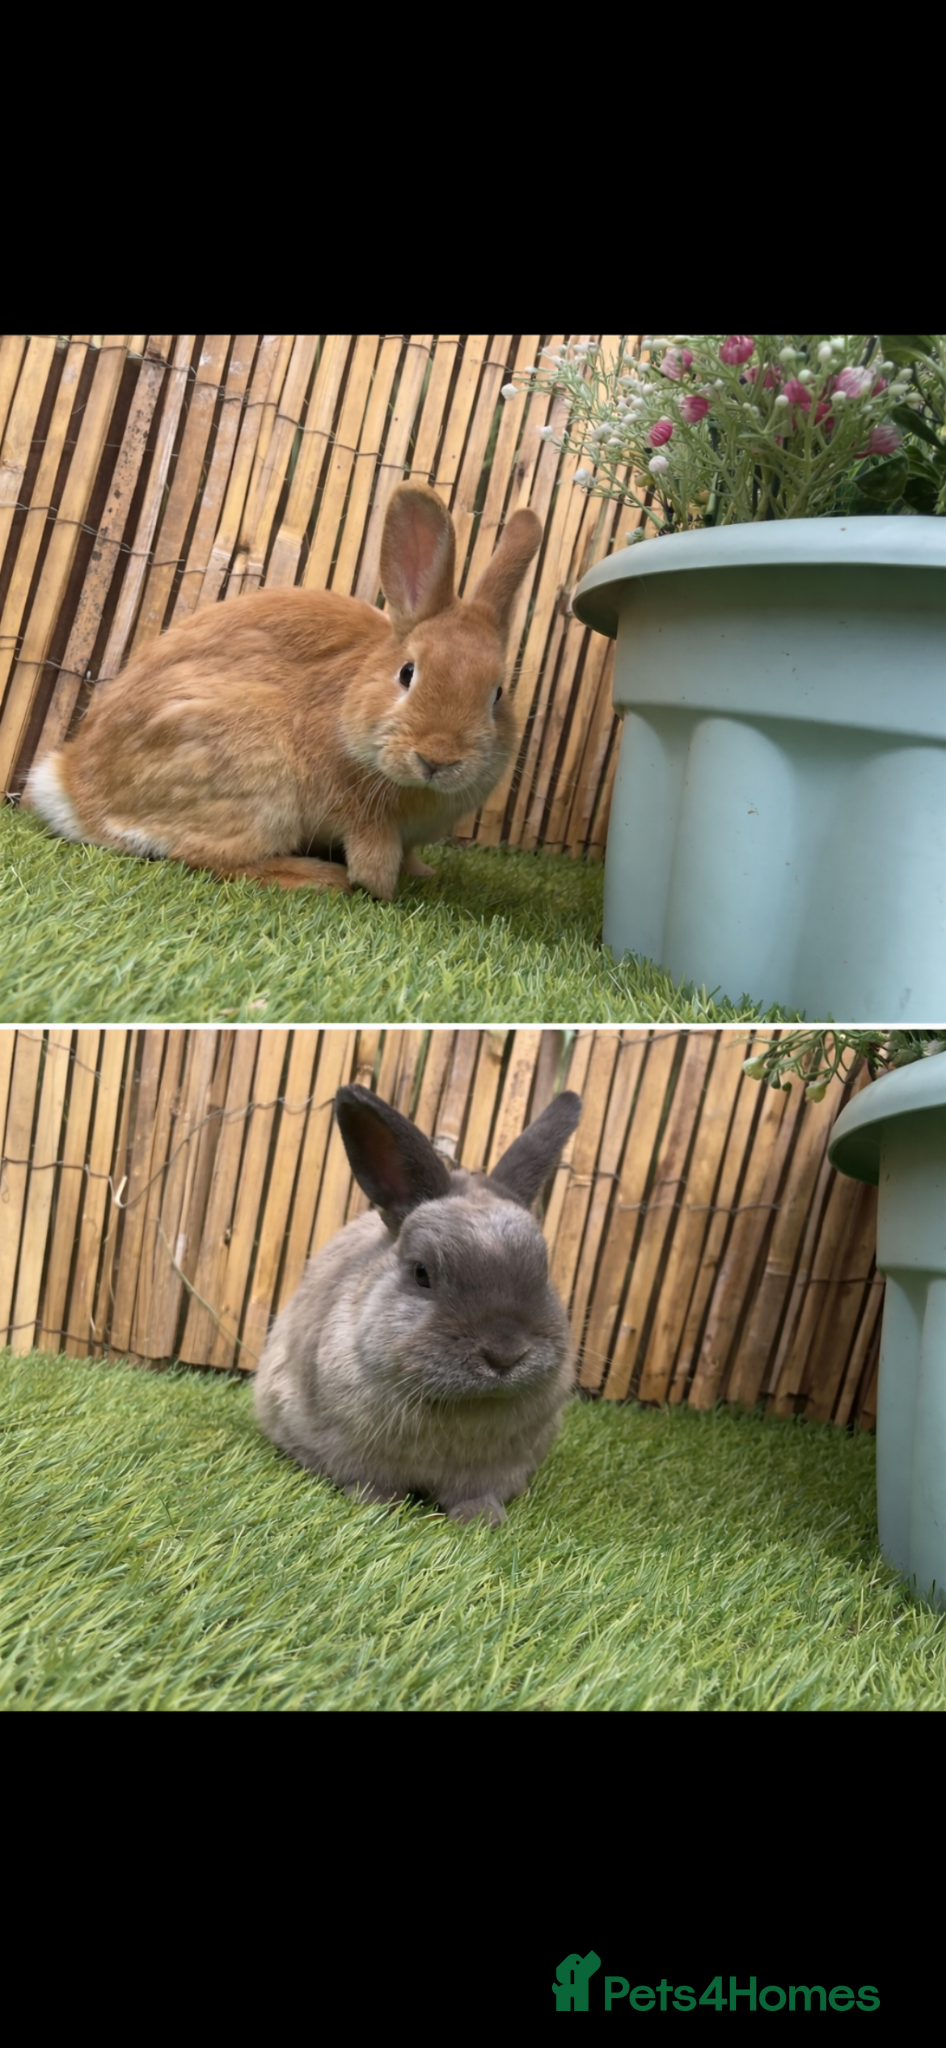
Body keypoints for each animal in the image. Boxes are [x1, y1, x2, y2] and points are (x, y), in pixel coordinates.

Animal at [21, 484, 542, 901]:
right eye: (407, 673)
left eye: (497, 694)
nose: (437, 758)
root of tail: (75, 792)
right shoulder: (359, 812)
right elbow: (373, 856)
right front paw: (381, 887)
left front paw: (423, 873)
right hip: (258, 785)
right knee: (206, 857)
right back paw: (318, 877)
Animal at [254, 1081, 582, 1525]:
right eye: (422, 1273)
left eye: (543, 1271)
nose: (505, 1355)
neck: (461, 1406)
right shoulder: (361, 1456)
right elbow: (372, 1486)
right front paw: (381, 1511)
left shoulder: (491, 1470)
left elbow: (477, 1494)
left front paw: (483, 1521)